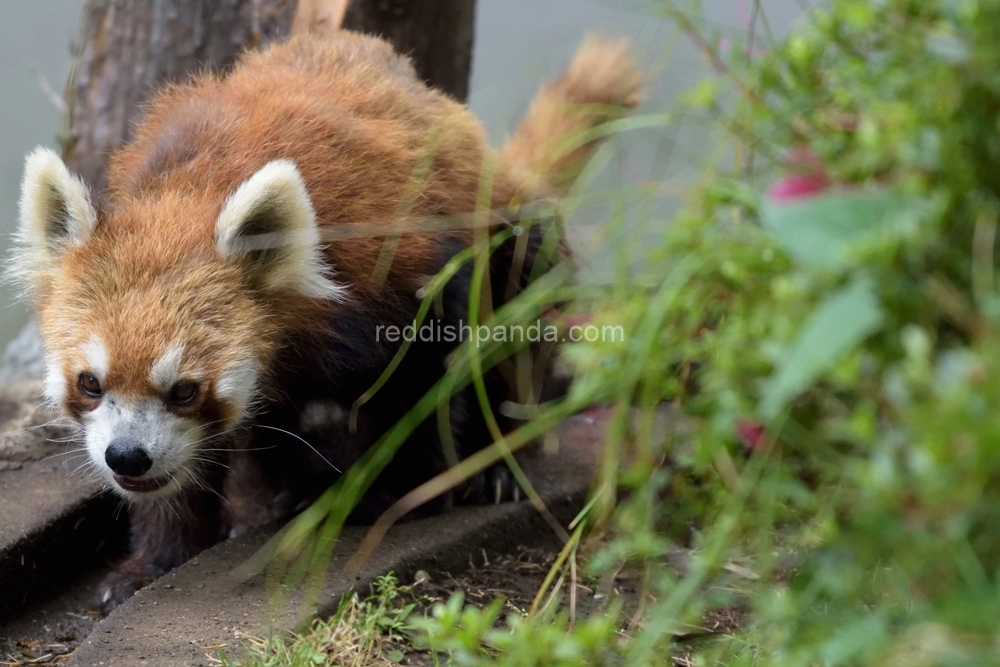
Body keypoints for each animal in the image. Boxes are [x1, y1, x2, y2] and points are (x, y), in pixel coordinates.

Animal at [11, 32, 640, 616]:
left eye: (185, 390)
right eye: (91, 383)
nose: (126, 456)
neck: (196, 187)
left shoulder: (400, 268)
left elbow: (419, 382)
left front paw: (393, 487)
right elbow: (181, 473)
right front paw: (153, 562)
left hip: (511, 233)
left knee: (514, 341)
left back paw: (499, 461)